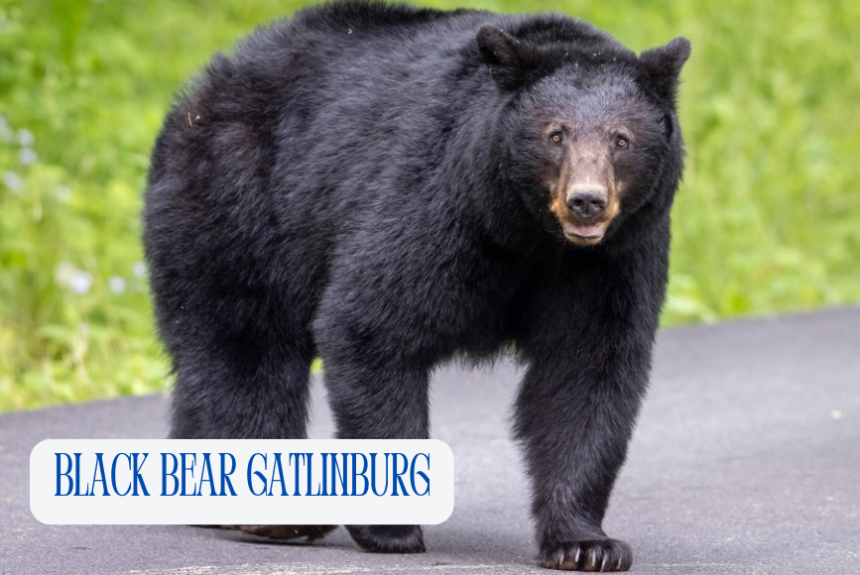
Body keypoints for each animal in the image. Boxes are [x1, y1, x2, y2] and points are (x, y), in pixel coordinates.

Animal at [144, 2, 688, 572]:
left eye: (621, 139)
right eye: (555, 134)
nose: (586, 201)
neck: (531, 235)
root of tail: (204, 88)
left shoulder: (612, 259)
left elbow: (586, 371)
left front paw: (586, 543)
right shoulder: (441, 205)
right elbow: (373, 323)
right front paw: (392, 529)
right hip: (241, 204)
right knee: (247, 349)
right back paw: (277, 514)